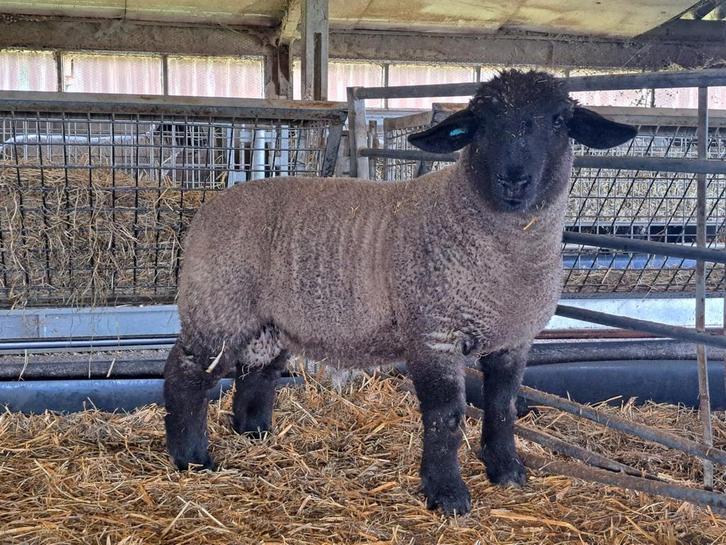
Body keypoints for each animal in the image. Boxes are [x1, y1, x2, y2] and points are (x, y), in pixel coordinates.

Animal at [163, 69, 637, 515]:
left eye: (558, 121)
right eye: (480, 124)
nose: (514, 181)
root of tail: (209, 206)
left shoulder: (514, 339)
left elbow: (503, 406)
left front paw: (506, 470)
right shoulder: (433, 333)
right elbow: (446, 416)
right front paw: (446, 493)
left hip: (266, 320)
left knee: (257, 371)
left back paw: (255, 432)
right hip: (217, 303)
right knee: (185, 373)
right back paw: (192, 457)